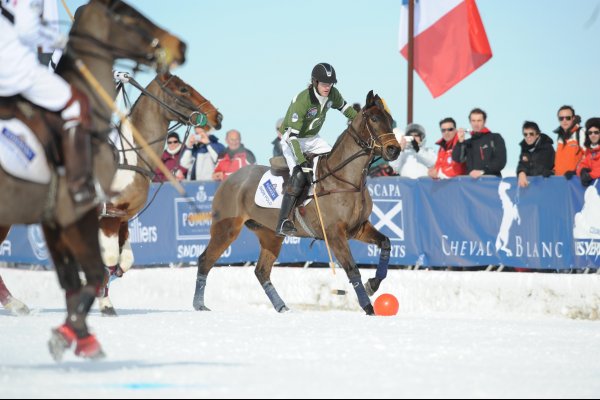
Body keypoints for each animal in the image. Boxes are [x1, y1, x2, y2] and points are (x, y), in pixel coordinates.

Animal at [97, 72, 221, 316]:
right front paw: (105, 303)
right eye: (183, 89)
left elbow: (124, 262)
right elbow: (111, 258)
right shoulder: (109, 216)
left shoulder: (123, 217)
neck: (130, 157)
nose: (216, 116)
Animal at [192, 91, 398, 316]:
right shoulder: (335, 234)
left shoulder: (358, 228)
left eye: (390, 120)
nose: (394, 149)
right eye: (375, 119)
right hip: (226, 228)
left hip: (270, 235)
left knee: (261, 271)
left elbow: (386, 243)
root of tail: (228, 178)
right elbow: (352, 269)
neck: (346, 180)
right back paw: (199, 305)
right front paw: (368, 307)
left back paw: (282, 307)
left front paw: (373, 284)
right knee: (205, 260)